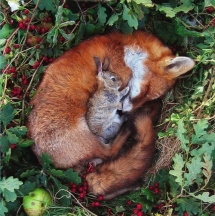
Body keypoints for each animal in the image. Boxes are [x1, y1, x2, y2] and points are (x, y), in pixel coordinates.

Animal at [26, 30, 195, 197]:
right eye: (147, 91)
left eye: (149, 97)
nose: (127, 111)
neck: (126, 51)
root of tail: (47, 164)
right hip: (88, 137)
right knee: (109, 153)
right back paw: (126, 128)